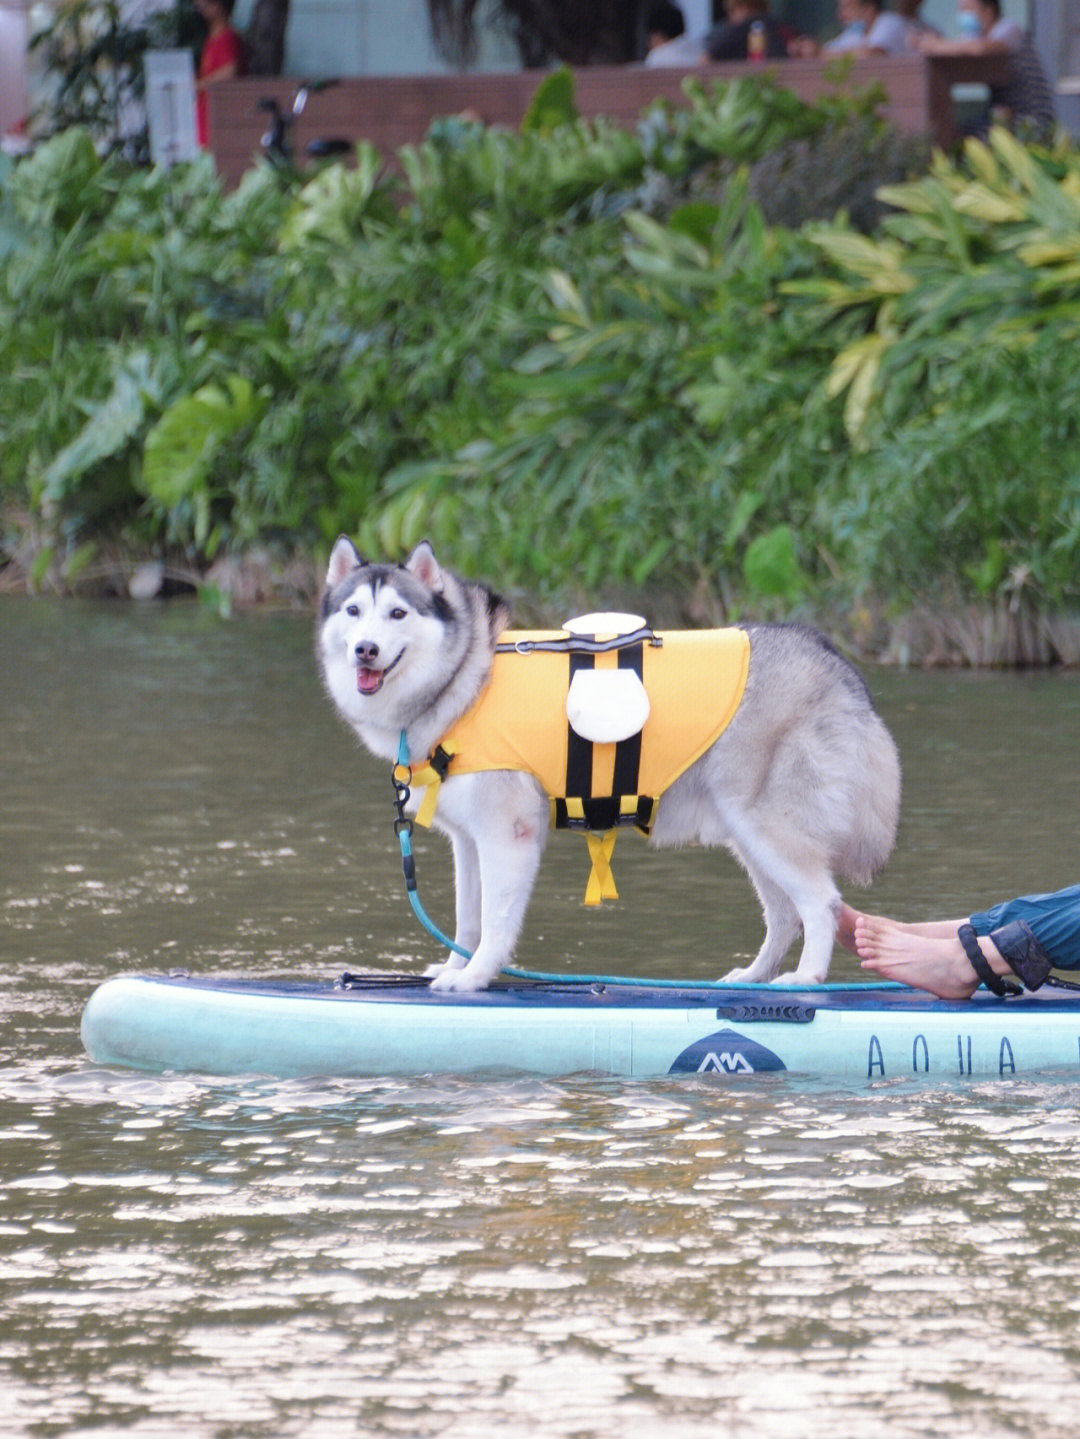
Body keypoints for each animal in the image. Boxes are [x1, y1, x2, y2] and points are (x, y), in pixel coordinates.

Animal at [319, 538, 903, 990]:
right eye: (354, 612)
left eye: (398, 613)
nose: (365, 650)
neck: (465, 678)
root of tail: (836, 662)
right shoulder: (467, 840)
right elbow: (467, 920)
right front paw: (453, 968)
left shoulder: (509, 834)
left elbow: (496, 921)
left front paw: (476, 976)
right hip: (747, 833)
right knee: (784, 916)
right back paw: (753, 977)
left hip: (768, 826)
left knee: (822, 904)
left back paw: (806, 979)